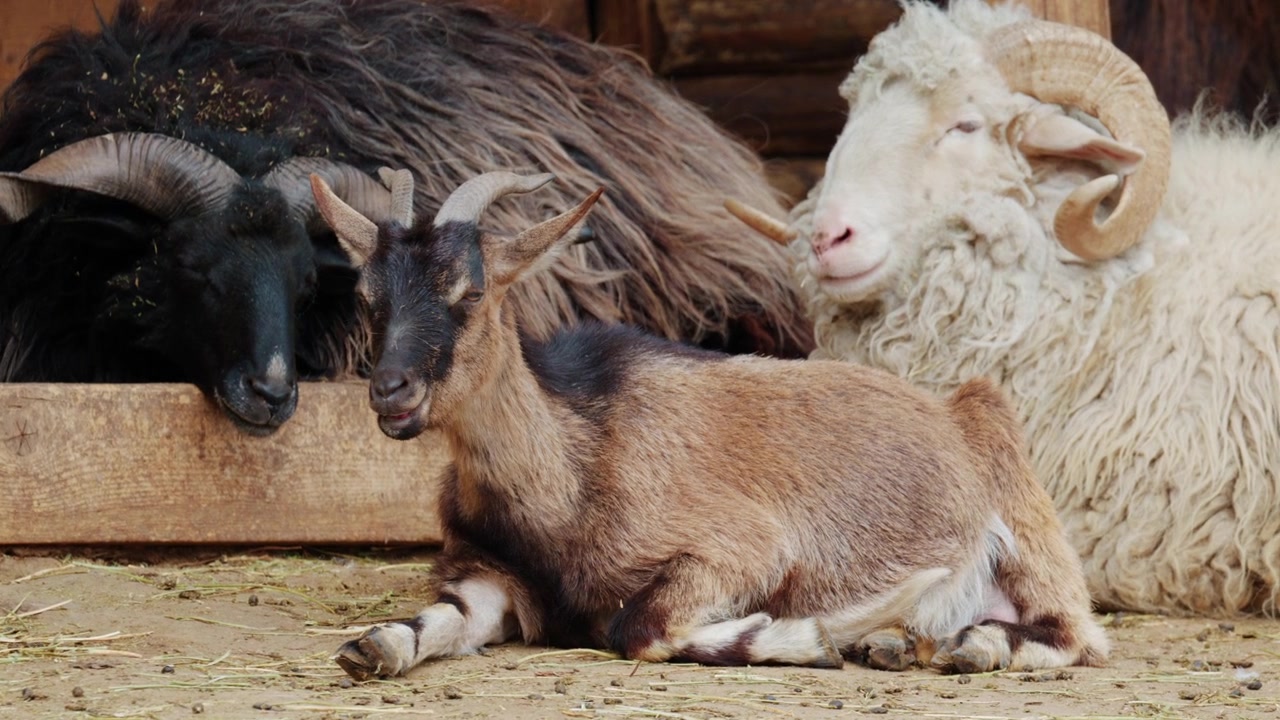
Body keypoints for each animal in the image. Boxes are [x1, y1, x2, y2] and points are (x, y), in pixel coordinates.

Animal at [305, 167, 1108, 680]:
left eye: (470, 293)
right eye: (370, 298)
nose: (390, 391)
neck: (569, 470)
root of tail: (957, 408)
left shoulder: (742, 546)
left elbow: (638, 626)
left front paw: (806, 637)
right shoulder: (489, 575)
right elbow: (440, 619)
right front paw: (374, 647)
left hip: (1026, 528)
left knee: (1076, 633)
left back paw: (965, 647)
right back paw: (904, 645)